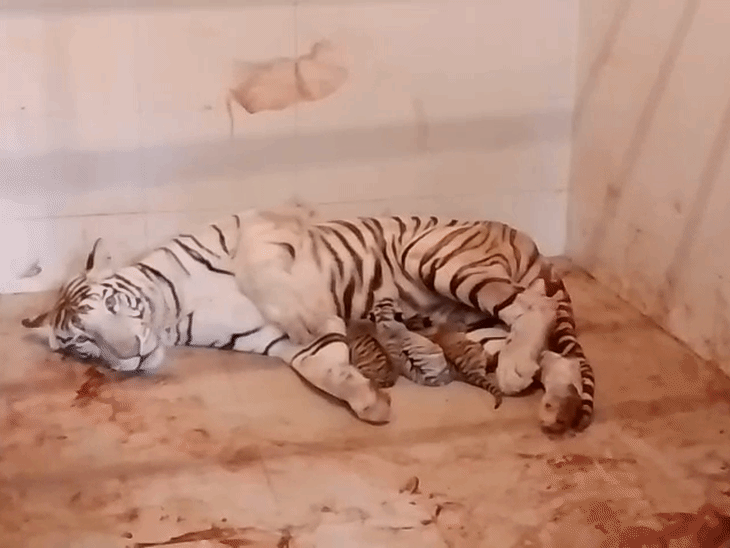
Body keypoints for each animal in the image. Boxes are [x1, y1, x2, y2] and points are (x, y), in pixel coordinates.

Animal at [22, 206, 595, 434]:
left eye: (112, 305)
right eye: (82, 343)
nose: (130, 356)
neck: (176, 309)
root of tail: (526, 239)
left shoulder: (254, 228)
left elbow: (265, 274)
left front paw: (311, 313)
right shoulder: (274, 343)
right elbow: (327, 369)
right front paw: (370, 402)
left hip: (440, 262)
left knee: (536, 308)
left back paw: (524, 376)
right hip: (476, 323)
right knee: (555, 358)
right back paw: (555, 407)